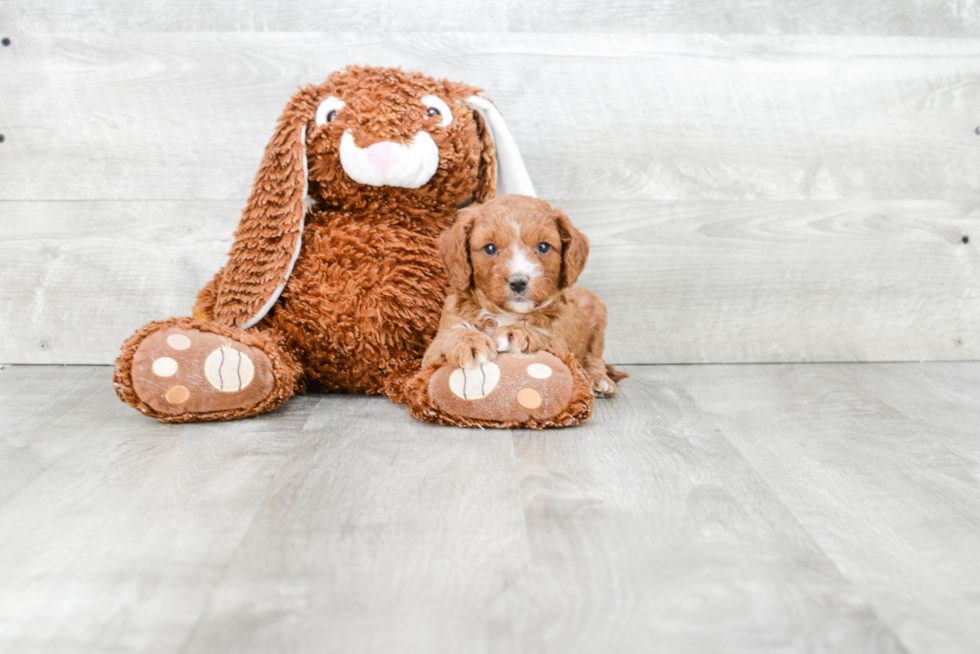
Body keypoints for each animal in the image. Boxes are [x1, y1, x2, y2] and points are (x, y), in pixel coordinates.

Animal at [424, 195, 628, 398]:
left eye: (543, 247)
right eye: (489, 248)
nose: (518, 282)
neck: (506, 313)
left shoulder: (561, 344)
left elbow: (545, 336)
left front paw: (516, 332)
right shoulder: (431, 353)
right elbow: (449, 337)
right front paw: (469, 342)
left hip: (595, 308)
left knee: (593, 357)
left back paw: (599, 379)